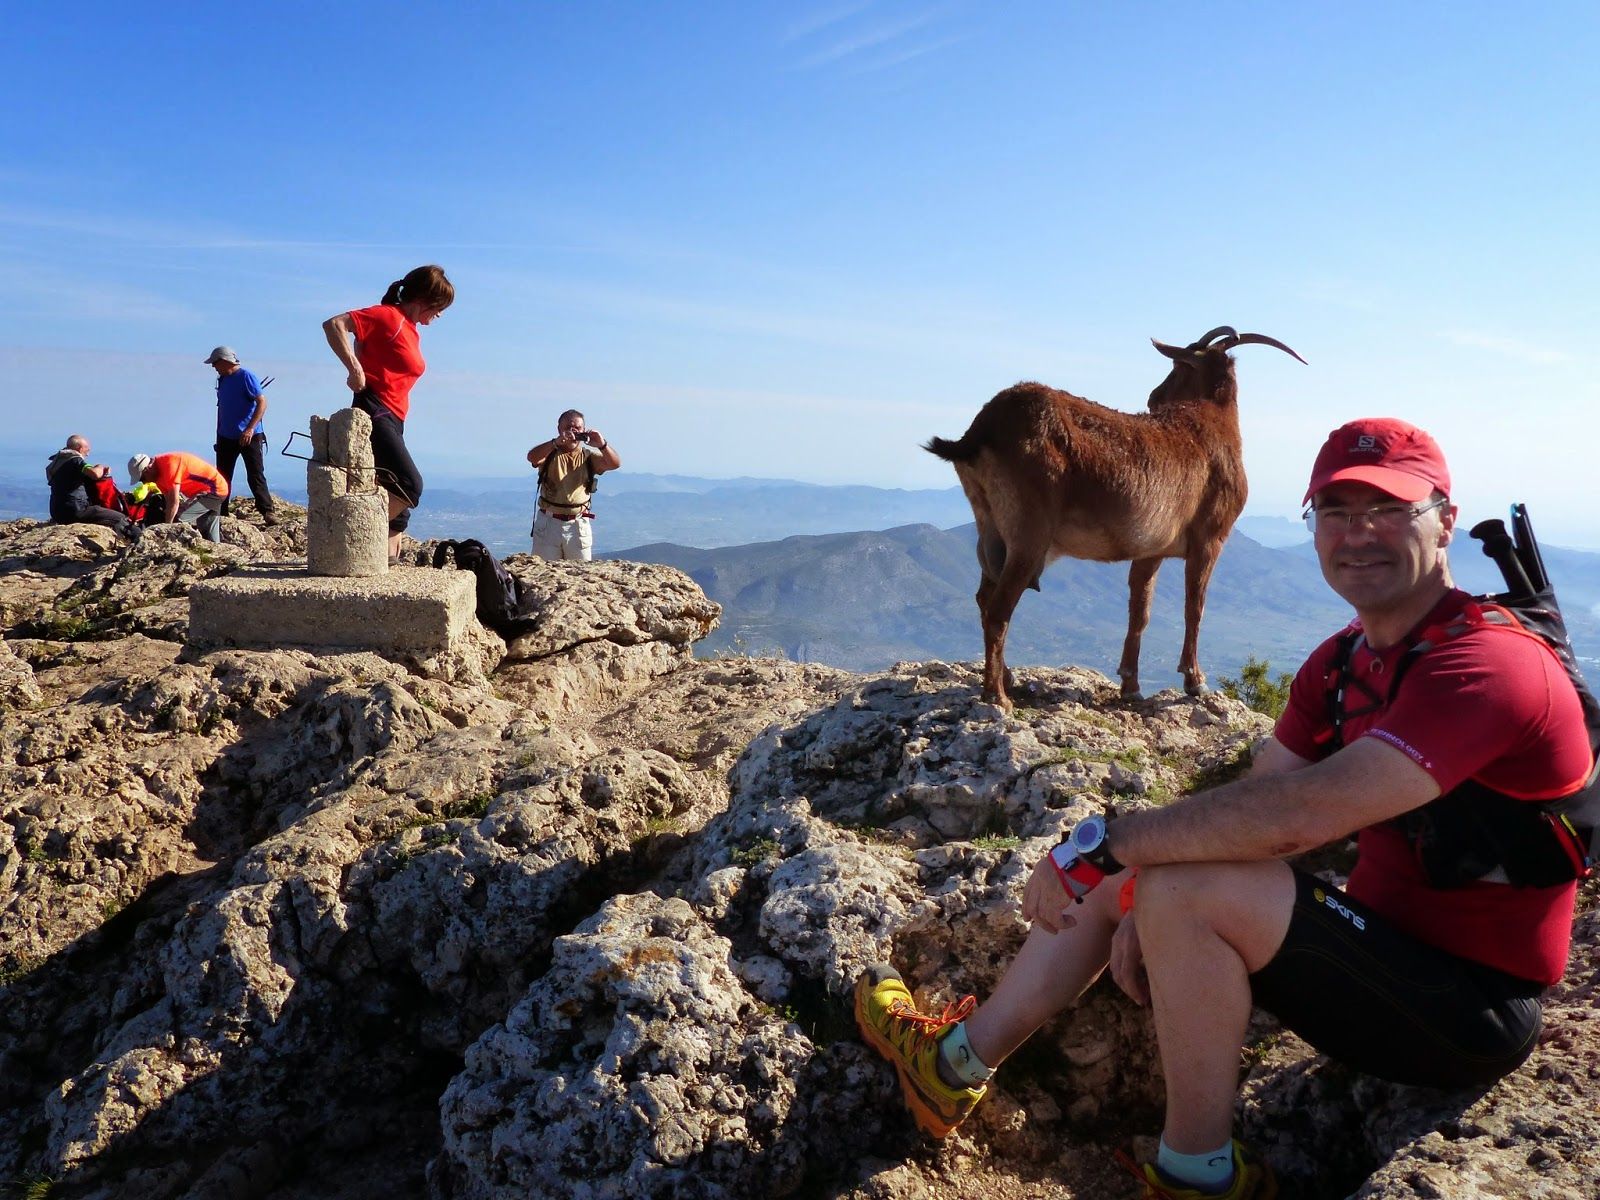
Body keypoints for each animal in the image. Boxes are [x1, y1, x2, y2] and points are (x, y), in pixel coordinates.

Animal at [934, 324, 1305, 710]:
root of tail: (981, 431)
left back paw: (1006, 678)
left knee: (984, 597)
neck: (1211, 422)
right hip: (1028, 533)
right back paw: (998, 695)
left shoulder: (1151, 550)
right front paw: (1195, 681)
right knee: (998, 608)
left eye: (1180, 368)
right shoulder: (1210, 538)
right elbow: (1194, 606)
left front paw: (1131, 685)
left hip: (990, 527)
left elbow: (1140, 611)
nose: (1154, 397)